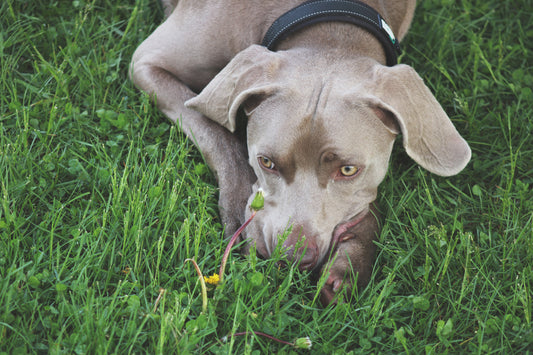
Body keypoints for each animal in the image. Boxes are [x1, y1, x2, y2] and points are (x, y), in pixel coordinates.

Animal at [130, 0, 470, 306]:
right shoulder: (145, 62)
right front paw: (238, 213)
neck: (330, 26)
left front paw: (350, 262)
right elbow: (215, 132)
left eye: (348, 170)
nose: (294, 258)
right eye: (266, 162)